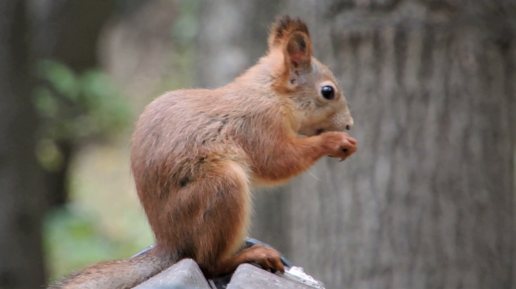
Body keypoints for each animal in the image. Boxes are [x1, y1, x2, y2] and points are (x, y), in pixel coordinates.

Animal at [50, 15, 356, 288]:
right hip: (221, 187)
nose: (350, 124)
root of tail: (170, 242)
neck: (271, 94)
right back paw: (252, 255)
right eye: (327, 91)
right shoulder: (259, 124)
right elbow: (277, 162)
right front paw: (336, 141)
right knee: (209, 263)